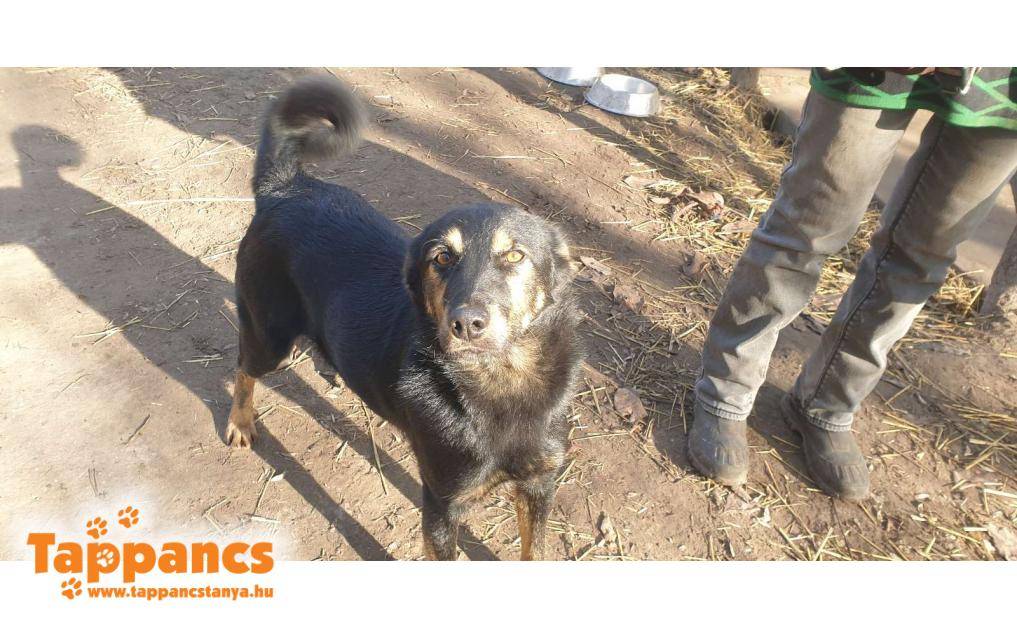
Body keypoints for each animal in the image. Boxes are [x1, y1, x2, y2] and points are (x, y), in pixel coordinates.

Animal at [226, 76, 583, 560]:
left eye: (514, 255)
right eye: (441, 258)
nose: (466, 323)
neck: (503, 384)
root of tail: (284, 188)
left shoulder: (539, 485)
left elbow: (536, 550)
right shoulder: (443, 503)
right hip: (270, 337)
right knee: (244, 365)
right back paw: (240, 422)